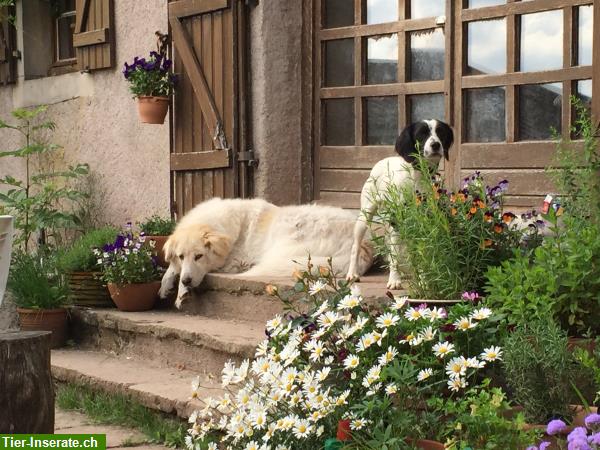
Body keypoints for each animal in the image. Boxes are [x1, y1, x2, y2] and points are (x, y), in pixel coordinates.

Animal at [159, 198, 376, 308]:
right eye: (181, 256)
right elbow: (171, 269)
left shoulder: (233, 261)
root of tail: (365, 243)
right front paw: (166, 285)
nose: (187, 281)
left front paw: (180, 291)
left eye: (199, 256)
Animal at [346, 119, 454, 288]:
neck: (417, 177)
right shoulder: (397, 221)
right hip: (365, 217)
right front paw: (394, 280)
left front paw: (423, 281)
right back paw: (352, 273)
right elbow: (395, 256)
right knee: (356, 247)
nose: (436, 144)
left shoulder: (424, 221)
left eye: (440, 132)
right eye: (421, 134)